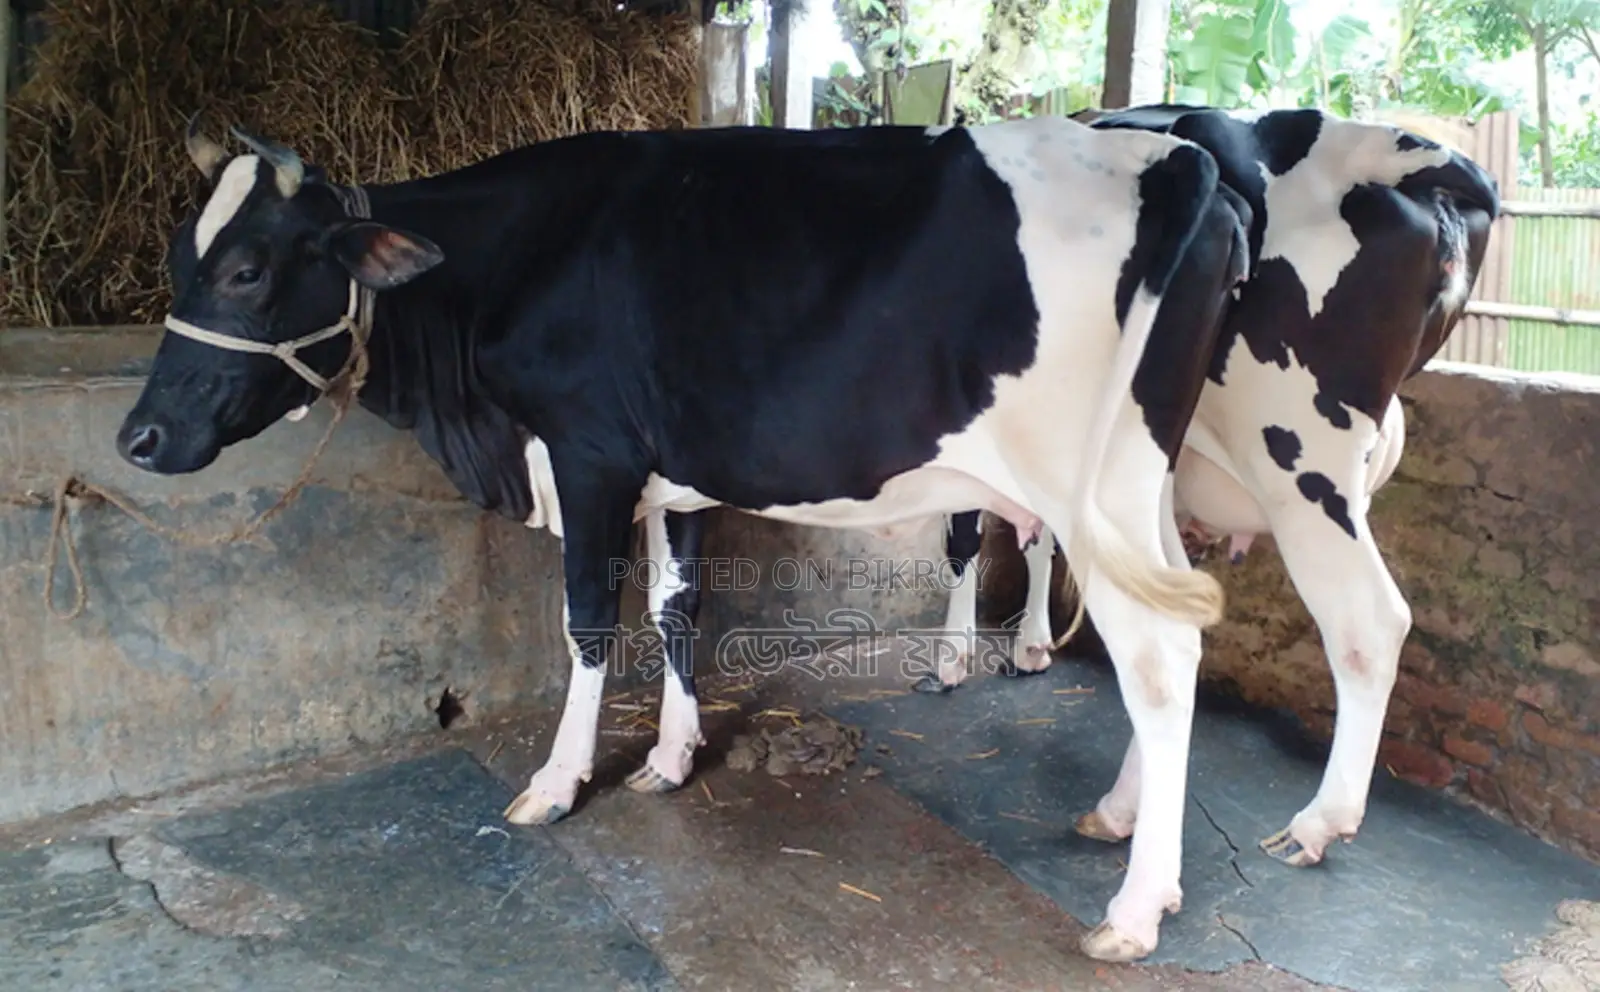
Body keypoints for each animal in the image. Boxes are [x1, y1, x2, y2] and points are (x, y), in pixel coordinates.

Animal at [114, 113, 1247, 961]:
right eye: (176, 258)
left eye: (250, 270)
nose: (138, 437)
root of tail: (1178, 163)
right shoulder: (673, 472)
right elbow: (674, 606)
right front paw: (669, 755)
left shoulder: (588, 452)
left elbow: (586, 622)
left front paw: (557, 783)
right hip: (1136, 487)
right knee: (1176, 643)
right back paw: (1121, 819)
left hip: (1092, 484)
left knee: (1156, 654)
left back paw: (1135, 907)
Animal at [921, 105, 1500, 884]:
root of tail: (1420, 155)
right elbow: (1038, 540)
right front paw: (1032, 642)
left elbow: (964, 534)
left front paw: (953, 657)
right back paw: (1125, 807)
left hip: (1297, 461)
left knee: (1369, 624)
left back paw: (1317, 822)